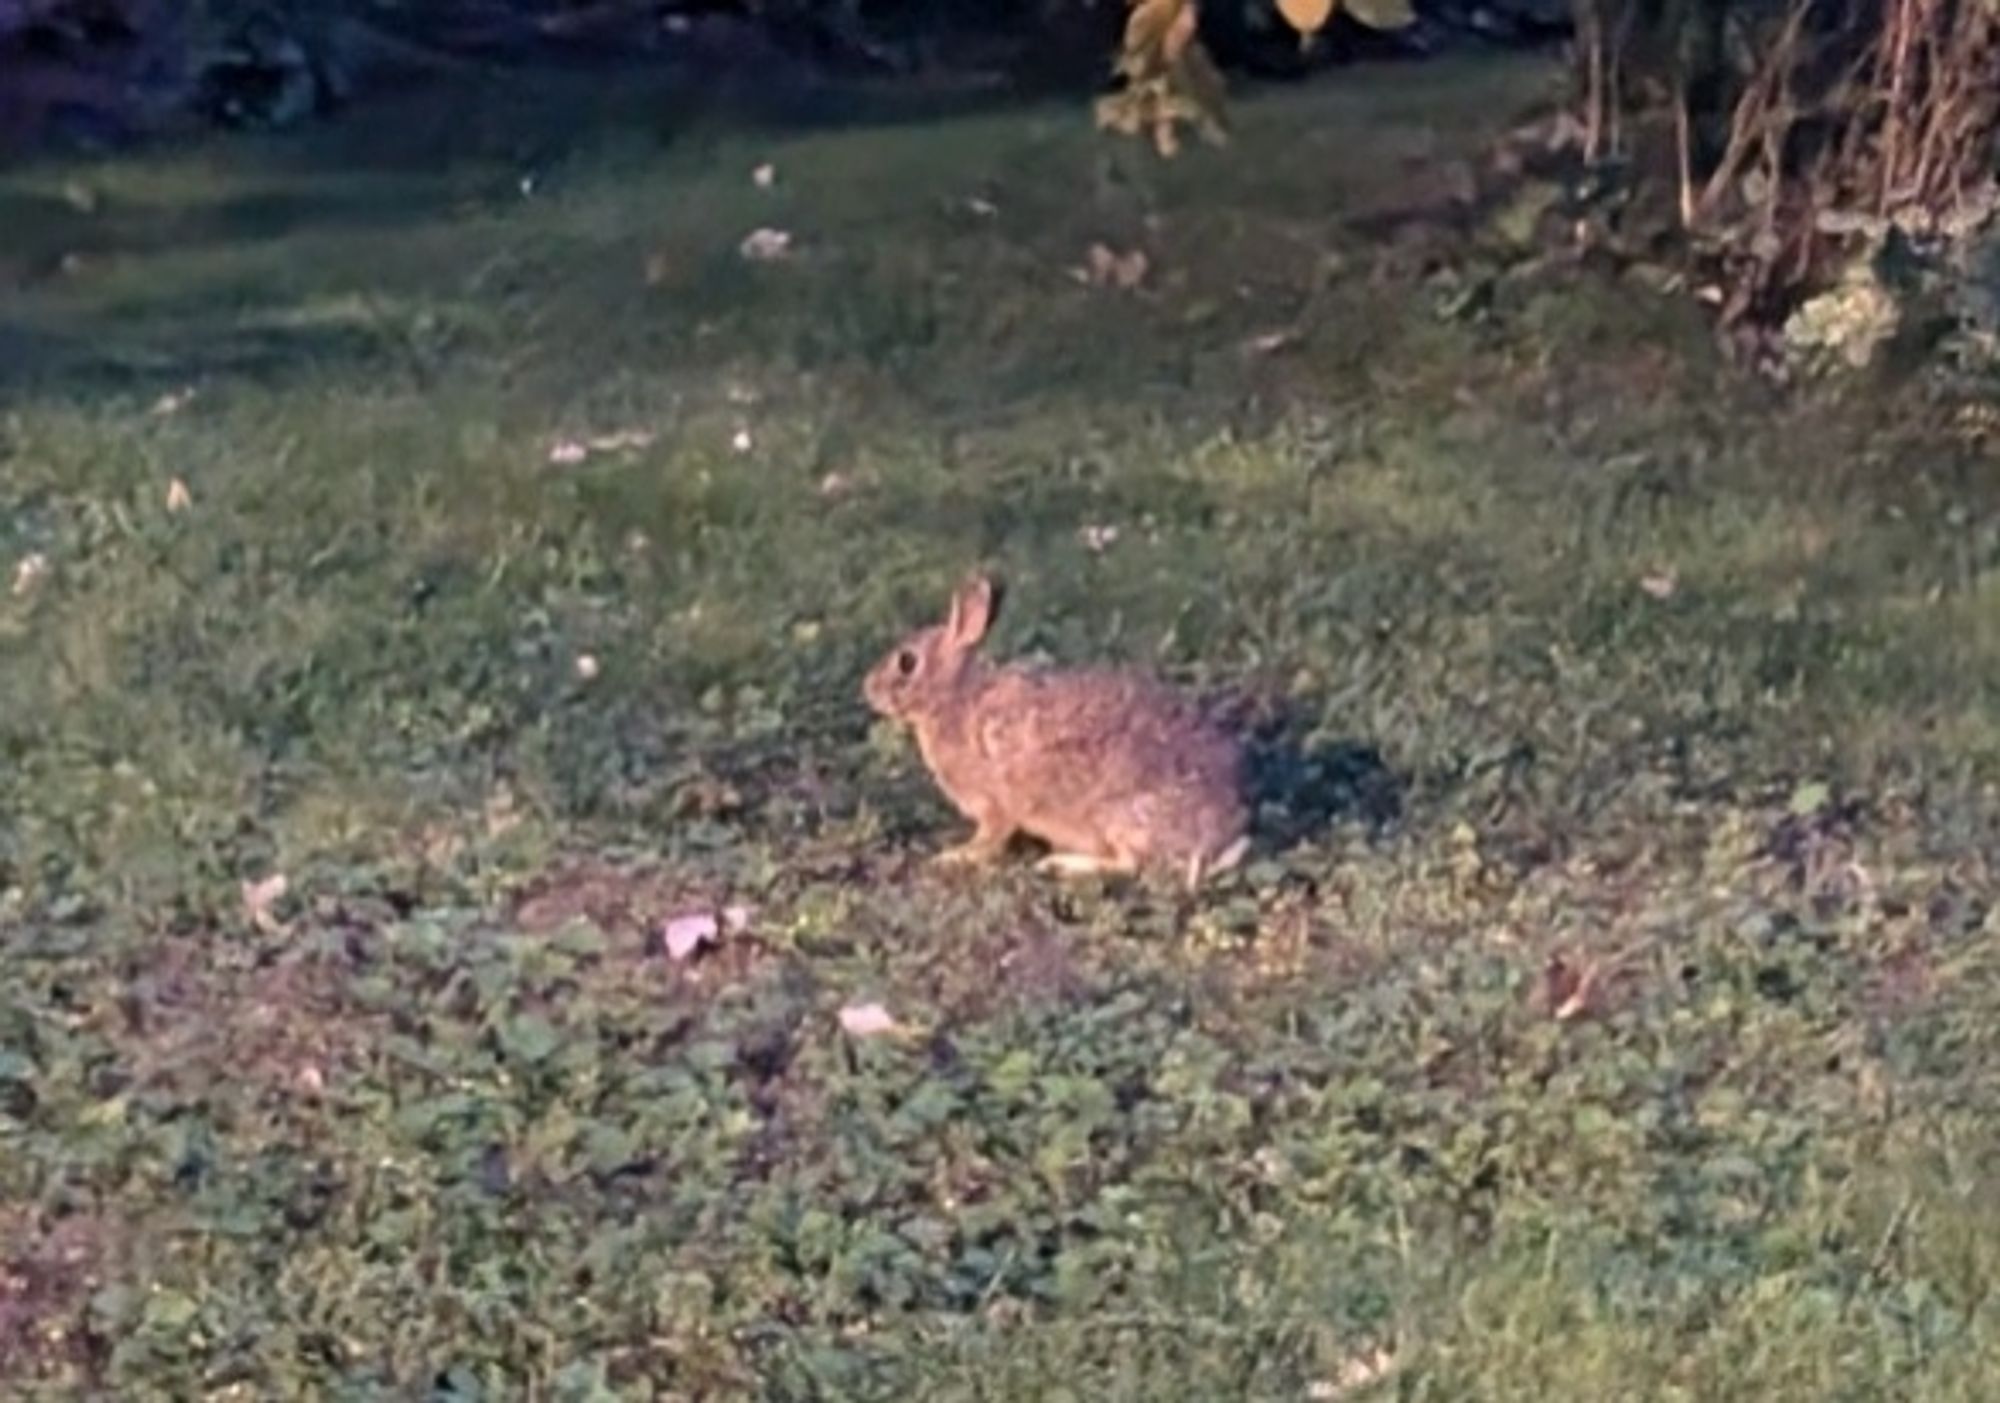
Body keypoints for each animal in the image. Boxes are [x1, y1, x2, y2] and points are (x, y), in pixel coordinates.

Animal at [864, 575, 1248, 891]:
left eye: (907, 662)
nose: (867, 689)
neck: (955, 699)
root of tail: (1221, 836)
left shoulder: (995, 802)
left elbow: (991, 838)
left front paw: (954, 855)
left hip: (1119, 815)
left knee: (1129, 864)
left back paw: (1060, 863)